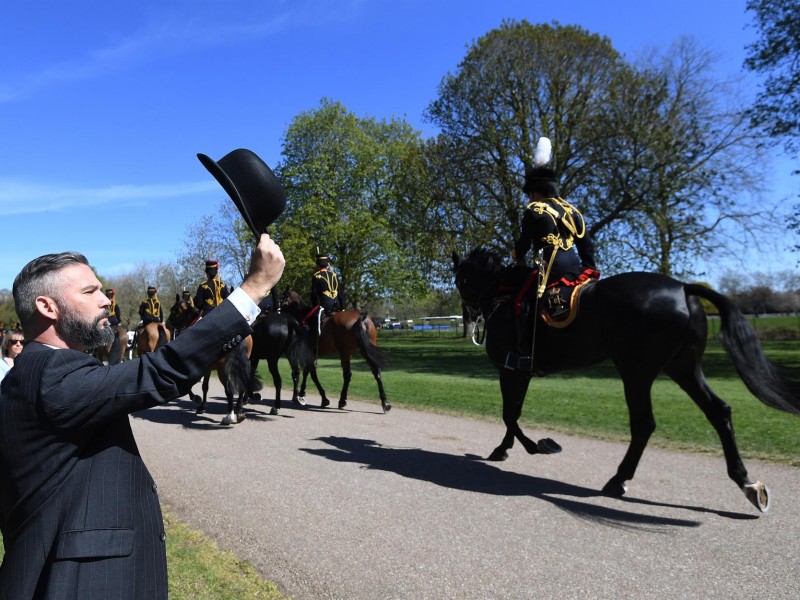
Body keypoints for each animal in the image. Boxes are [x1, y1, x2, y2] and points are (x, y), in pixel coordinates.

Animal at [454, 247, 796, 510]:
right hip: (683, 368)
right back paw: (746, 482)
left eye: (460, 279)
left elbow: (509, 414)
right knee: (718, 411)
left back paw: (618, 480)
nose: (470, 317)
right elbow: (512, 413)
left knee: (644, 423)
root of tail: (682, 288)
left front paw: (537, 446)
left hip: (637, 370)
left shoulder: (511, 369)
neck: (506, 296)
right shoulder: (519, 371)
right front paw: (506, 447)